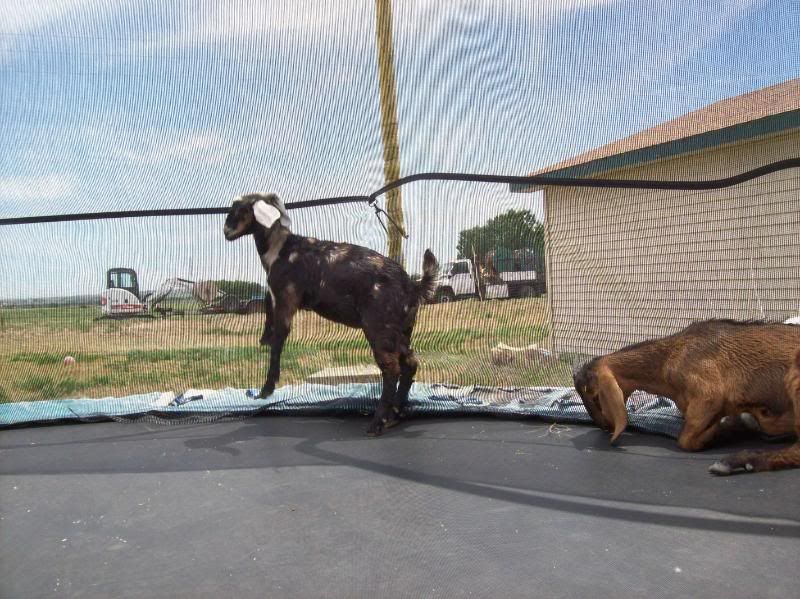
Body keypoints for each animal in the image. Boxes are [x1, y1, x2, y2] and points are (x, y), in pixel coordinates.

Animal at [224, 192, 439, 436]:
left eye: (240, 208)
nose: (226, 231)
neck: (282, 248)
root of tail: (412, 286)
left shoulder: (285, 300)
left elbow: (277, 344)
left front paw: (266, 389)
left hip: (379, 328)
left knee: (392, 369)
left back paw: (378, 422)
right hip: (401, 330)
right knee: (410, 363)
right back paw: (396, 412)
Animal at [572, 319, 800, 475]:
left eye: (594, 395)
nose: (605, 427)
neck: (667, 359)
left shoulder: (708, 396)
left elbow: (684, 440)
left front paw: (718, 434)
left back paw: (736, 462)